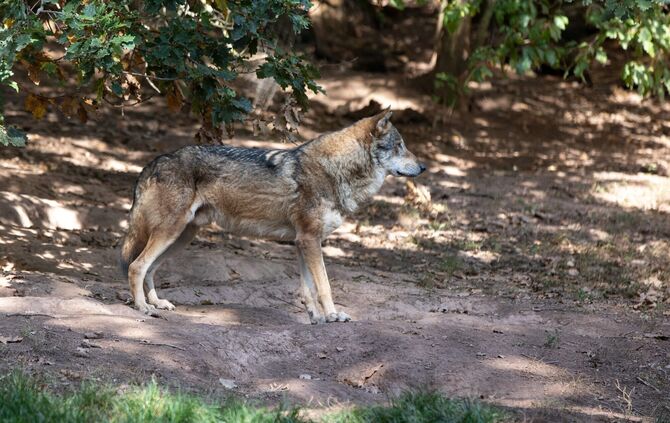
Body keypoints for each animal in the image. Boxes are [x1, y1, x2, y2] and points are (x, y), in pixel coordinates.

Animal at [120, 110, 426, 323]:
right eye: (399, 146)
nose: (423, 167)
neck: (336, 170)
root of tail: (153, 162)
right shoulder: (310, 240)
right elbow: (324, 286)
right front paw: (333, 315)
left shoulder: (302, 242)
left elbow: (307, 288)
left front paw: (316, 317)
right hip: (170, 233)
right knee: (136, 266)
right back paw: (143, 308)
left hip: (181, 237)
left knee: (150, 268)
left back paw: (157, 303)